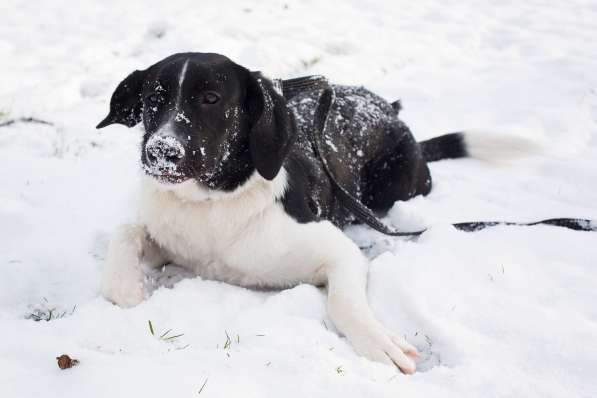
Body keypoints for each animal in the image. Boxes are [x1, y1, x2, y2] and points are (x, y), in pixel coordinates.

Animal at [96, 52, 528, 374]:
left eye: (211, 99)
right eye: (153, 98)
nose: (160, 152)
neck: (212, 205)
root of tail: (388, 108)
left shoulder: (340, 252)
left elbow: (344, 301)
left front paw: (378, 342)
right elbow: (124, 231)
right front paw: (127, 289)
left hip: (396, 185)